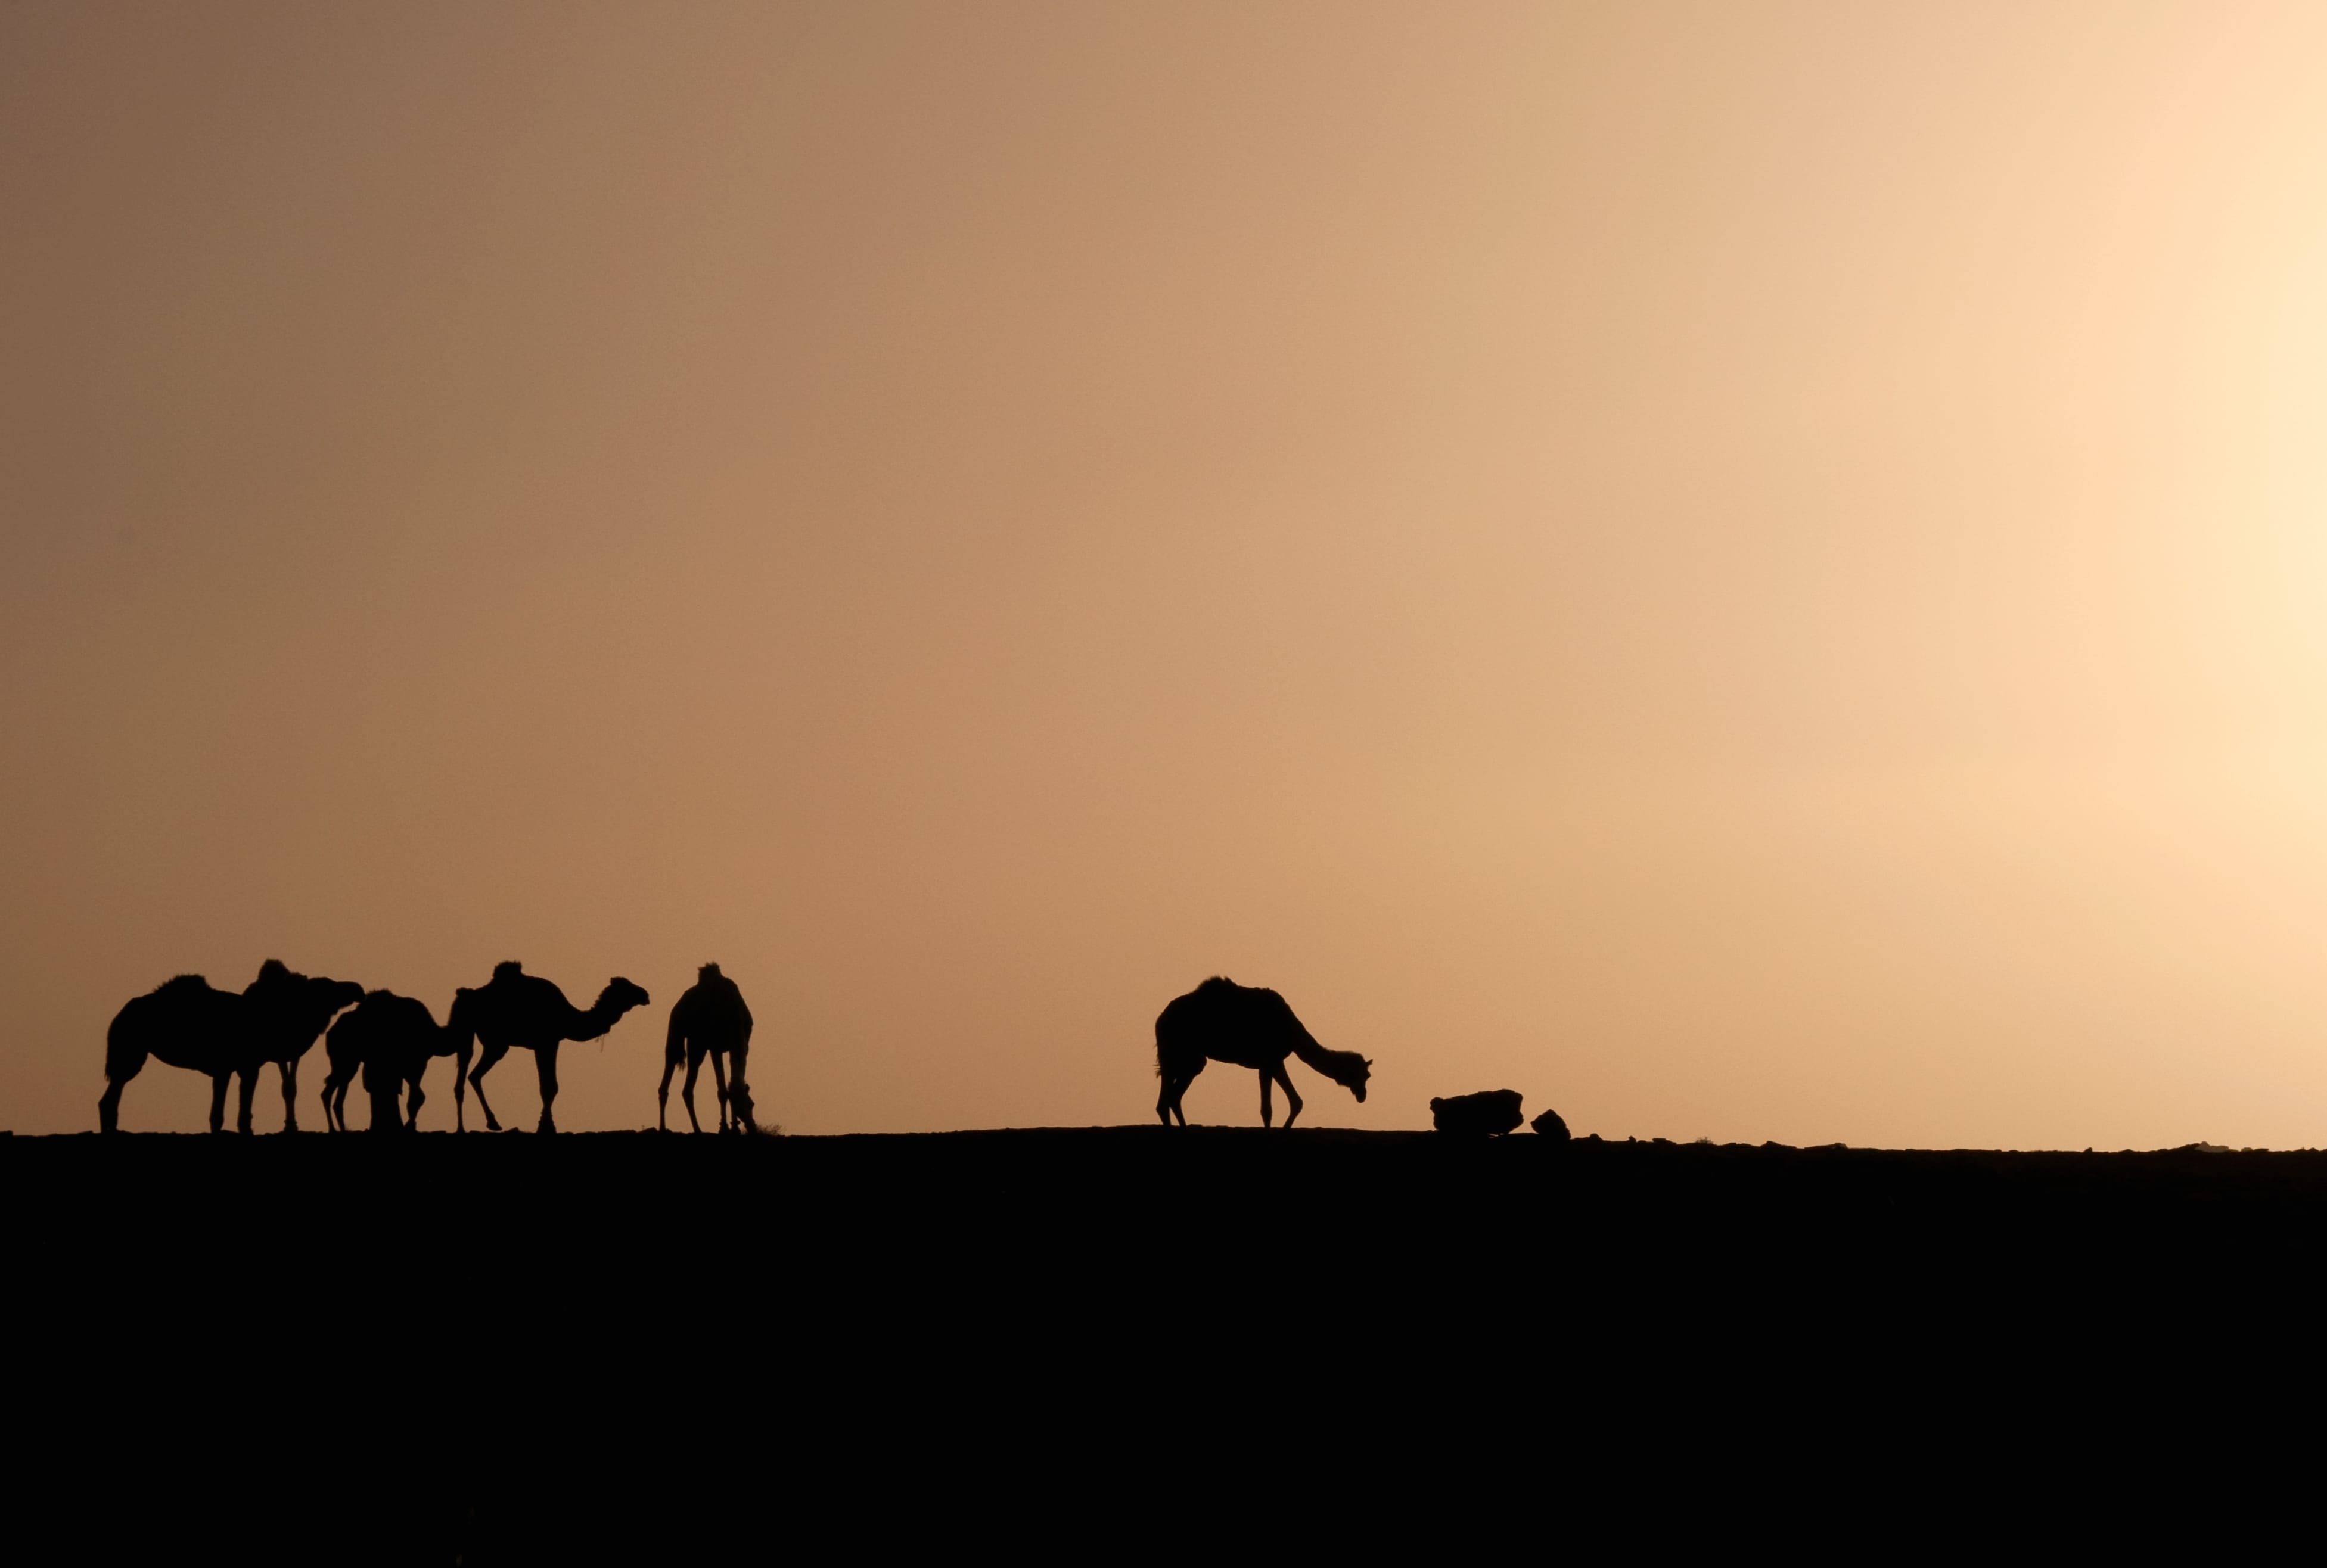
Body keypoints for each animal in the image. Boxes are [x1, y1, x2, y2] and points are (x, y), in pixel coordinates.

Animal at [100, 958, 363, 1130]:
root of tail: (122, 1013)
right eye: (324, 987)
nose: (356, 988)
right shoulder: (246, 1066)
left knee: (110, 1100)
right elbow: (240, 1117)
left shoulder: (226, 1069)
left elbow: (219, 1116)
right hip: (130, 1052)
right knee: (111, 1098)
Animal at [321, 995, 465, 1130]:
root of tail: (331, 1033)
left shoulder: (413, 1066)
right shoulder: (414, 1063)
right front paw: (409, 1125)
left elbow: (414, 1095)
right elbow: (418, 1096)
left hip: (348, 1062)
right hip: (345, 1059)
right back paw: (334, 1129)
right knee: (332, 1092)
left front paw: (410, 1125)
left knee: (335, 1094)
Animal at [661, 958, 759, 1130]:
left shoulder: (741, 1046)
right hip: (682, 1034)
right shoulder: (715, 1047)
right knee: (674, 1074)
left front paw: (734, 1128)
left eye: (751, 1104)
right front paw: (724, 1128)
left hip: (695, 1043)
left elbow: (728, 1087)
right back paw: (670, 1128)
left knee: (686, 1088)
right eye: (740, 1108)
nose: (752, 1127)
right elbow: (723, 1092)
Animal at [1154, 972, 1368, 1116]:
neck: (1292, 1031)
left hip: (1185, 1057)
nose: (1363, 1095)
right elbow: (1269, 1109)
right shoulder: (1269, 1060)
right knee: (1168, 1099)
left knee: (1170, 1098)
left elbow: (1293, 1102)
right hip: (1177, 1052)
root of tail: (1160, 1019)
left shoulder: (1272, 1062)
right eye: (1361, 1075)